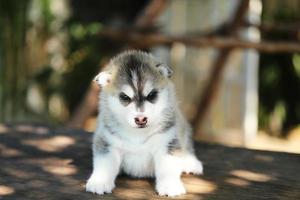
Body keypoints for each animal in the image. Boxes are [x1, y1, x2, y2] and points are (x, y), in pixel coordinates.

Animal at [86, 50, 204, 197]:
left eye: (152, 95)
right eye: (125, 97)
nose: (141, 119)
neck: (138, 134)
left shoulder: (167, 142)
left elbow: (169, 166)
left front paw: (170, 185)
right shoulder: (107, 141)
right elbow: (104, 164)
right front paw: (99, 182)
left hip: (181, 126)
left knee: (186, 145)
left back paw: (190, 162)